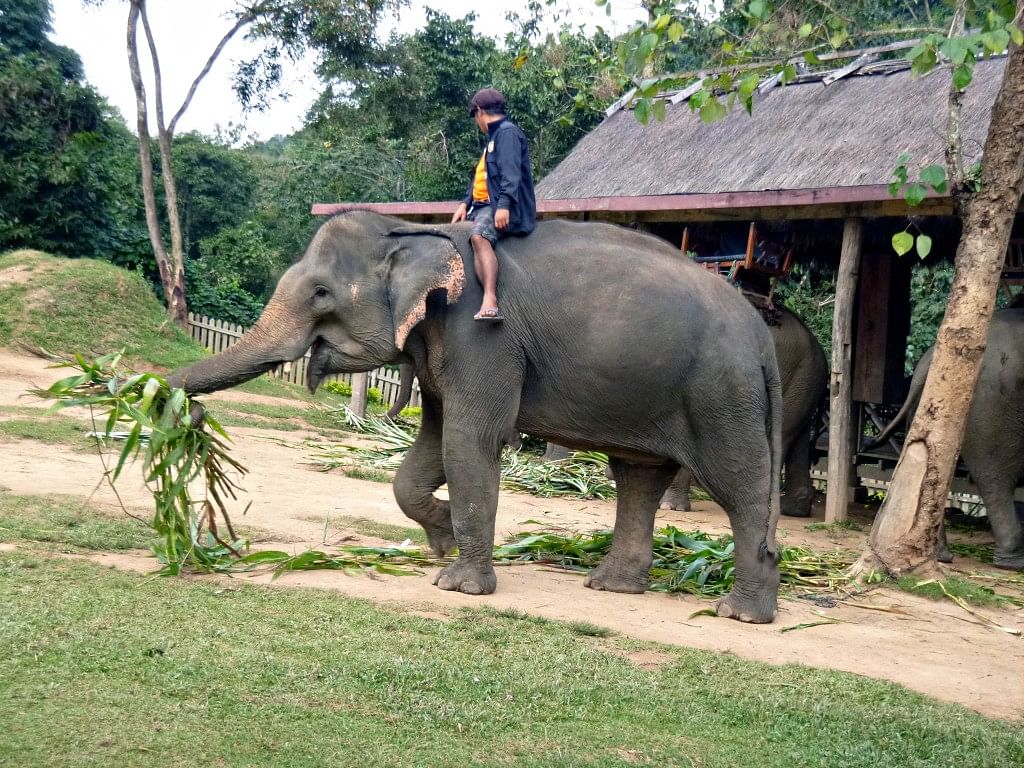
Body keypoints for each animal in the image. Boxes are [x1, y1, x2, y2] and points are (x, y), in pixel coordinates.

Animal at [167, 211, 782, 626]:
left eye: (321, 293)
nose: (188, 413)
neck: (416, 230)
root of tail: (761, 336)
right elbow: (427, 451)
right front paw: (440, 540)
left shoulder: (484, 339)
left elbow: (470, 441)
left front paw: (457, 585)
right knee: (637, 478)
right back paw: (609, 587)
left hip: (721, 394)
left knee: (739, 485)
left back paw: (740, 614)